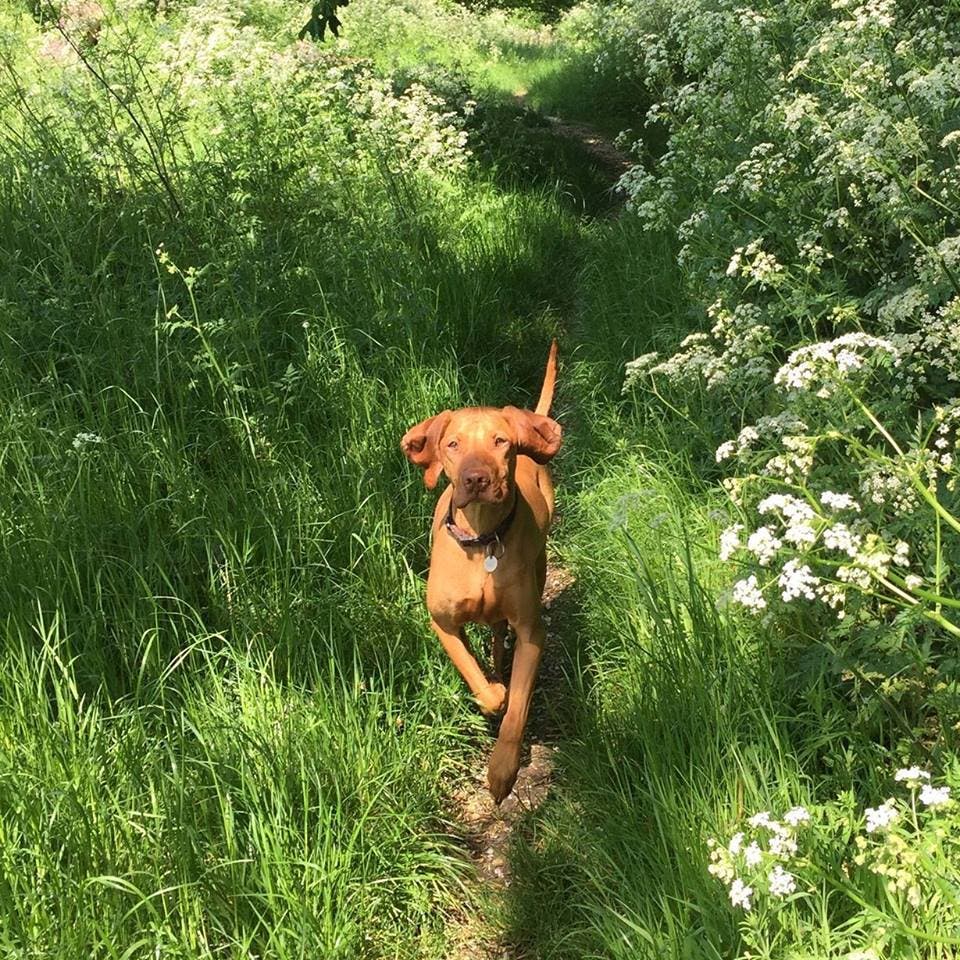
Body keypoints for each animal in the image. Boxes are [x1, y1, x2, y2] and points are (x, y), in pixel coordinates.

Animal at [400, 342, 564, 800]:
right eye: (453, 444)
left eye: (500, 441)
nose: (476, 478)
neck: (482, 541)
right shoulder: (442, 624)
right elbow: (478, 680)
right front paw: (494, 691)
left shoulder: (532, 632)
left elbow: (517, 710)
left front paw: (502, 770)